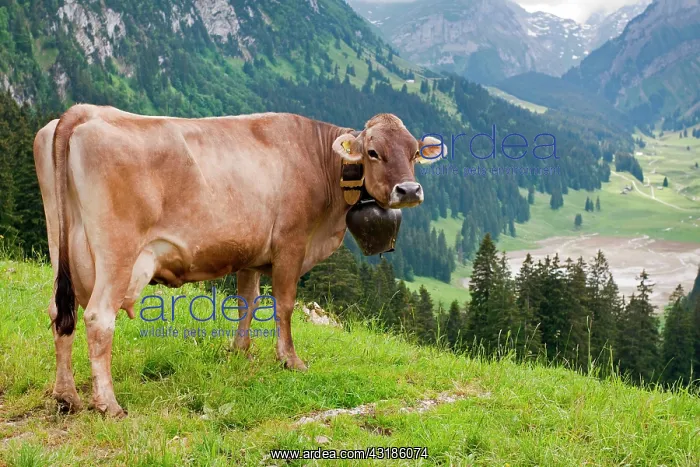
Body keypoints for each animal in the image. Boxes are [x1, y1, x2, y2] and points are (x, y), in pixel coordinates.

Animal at [33, 105, 444, 417]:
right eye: (373, 152)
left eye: (413, 153)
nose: (409, 190)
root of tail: (83, 112)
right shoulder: (291, 244)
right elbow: (284, 304)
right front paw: (290, 360)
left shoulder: (251, 253)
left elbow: (248, 301)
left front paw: (239, 351)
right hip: (117, 253)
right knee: (98, 318)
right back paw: (108, 404)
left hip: (60, 246)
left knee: (60, 311)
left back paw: (66, 396)